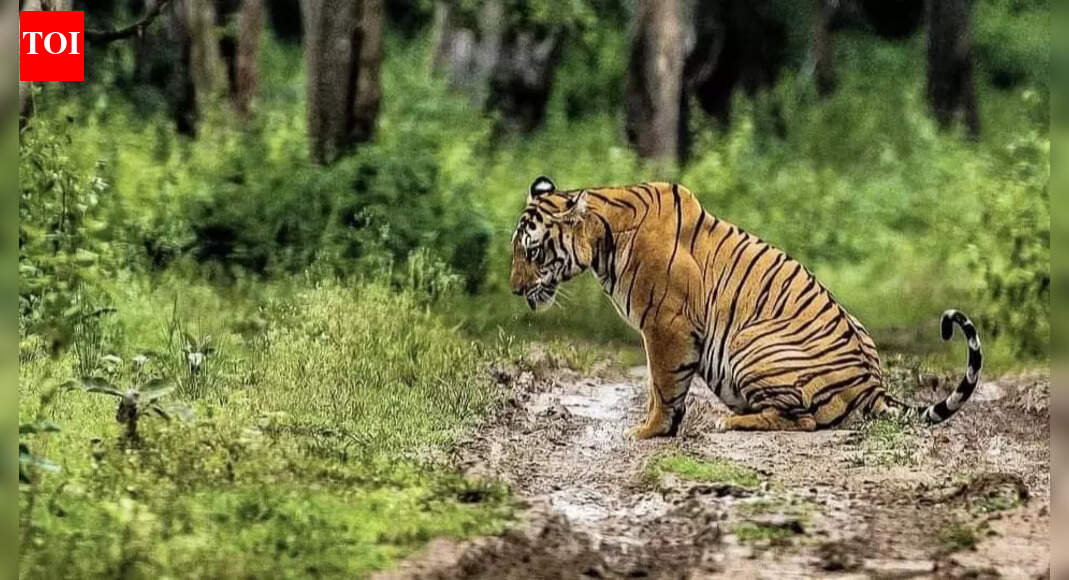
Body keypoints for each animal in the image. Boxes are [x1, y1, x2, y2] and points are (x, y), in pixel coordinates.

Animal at [509, 176, 982, 437]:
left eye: (532, 251)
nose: (514, 289)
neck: (603, 238)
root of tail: (873, 386)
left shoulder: (665, 326)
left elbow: (661, 386)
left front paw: (649, 432)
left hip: (748, 342)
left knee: (804, 420)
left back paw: (732, 422)